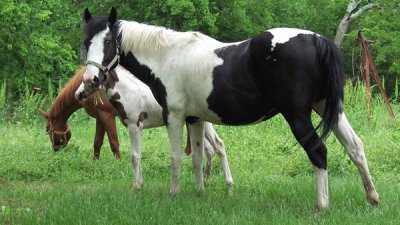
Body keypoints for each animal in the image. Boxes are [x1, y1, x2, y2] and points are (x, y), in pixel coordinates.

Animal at [76, 64, 233, 190]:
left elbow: (135, 156)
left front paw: (136, 187)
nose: (77, 94)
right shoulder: (136, 128)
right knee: (215, 147)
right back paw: (214, 182)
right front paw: (141, 184)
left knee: (218, 145)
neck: (128, 93)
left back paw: (228, 185)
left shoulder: (134, 126)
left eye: (91, 79)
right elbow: (138, 155)